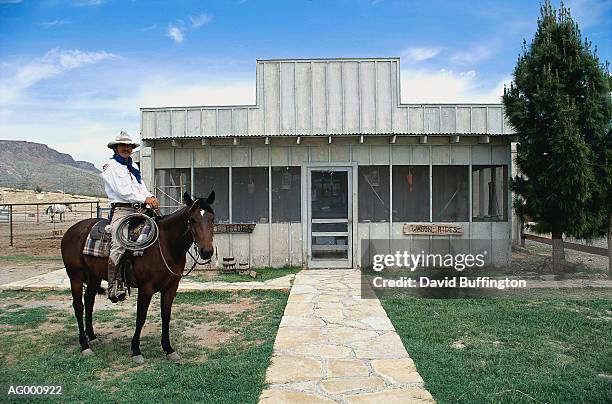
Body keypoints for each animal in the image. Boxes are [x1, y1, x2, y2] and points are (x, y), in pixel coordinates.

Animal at [61, 193, 215, 362]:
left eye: (212, 218)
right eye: (192, 219)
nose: (207, 251)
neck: (165, 245)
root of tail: (71, 230)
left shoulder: (171, 287)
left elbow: (166, 315)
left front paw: (168, 349)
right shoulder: (145, 288)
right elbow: (141, 317)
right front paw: (136, 350)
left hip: (93, 276)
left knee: (89, 301)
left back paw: (93, 337)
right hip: (75, 276)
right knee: (78, 306)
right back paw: (84, 345)